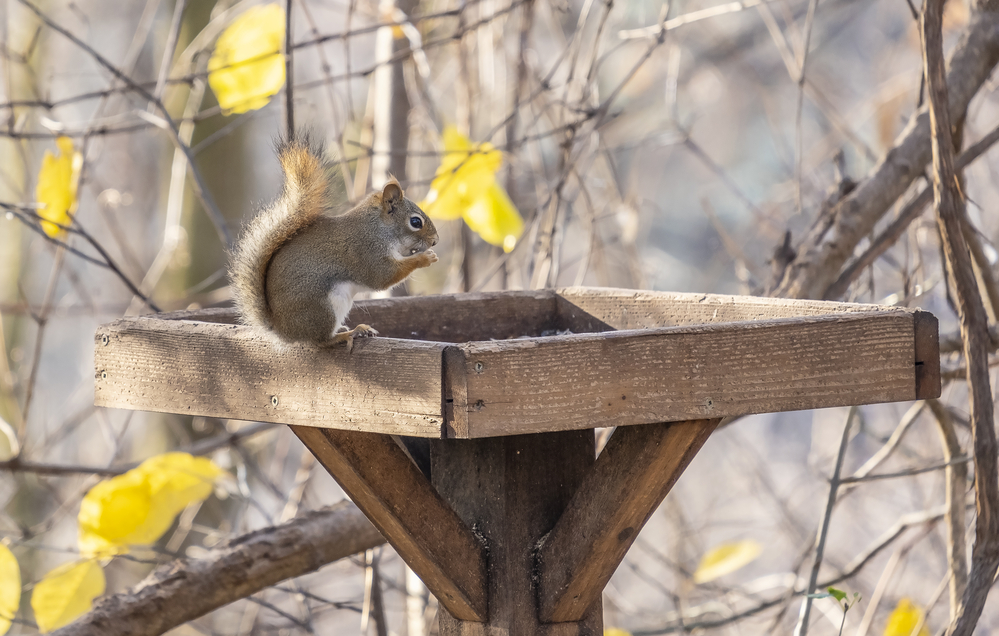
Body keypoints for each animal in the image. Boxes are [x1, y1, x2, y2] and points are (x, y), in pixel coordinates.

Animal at [234, 136, 442, 350]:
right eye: (415, 222)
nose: (435, 241)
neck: (379, 229)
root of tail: (282, 331)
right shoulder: (367, 251)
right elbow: (383, 277)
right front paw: (425, 258)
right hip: (322, 308)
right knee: (320, 341)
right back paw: (348, 333)